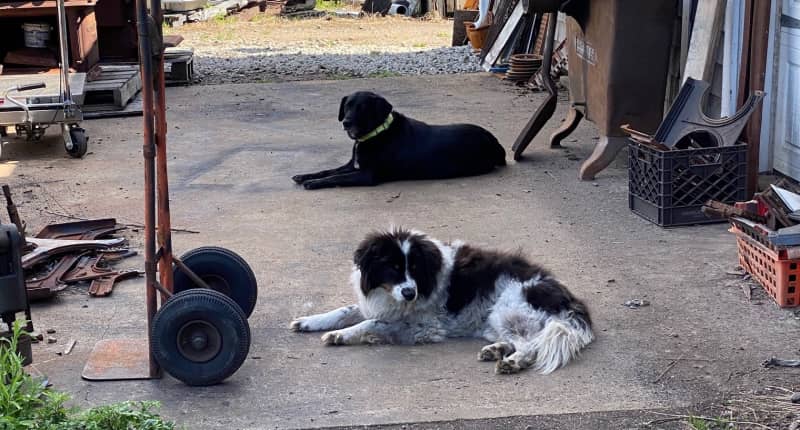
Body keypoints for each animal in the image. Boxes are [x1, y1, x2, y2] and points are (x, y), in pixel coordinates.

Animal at [290, 228, 592, 372]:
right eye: (393, 268)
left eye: (415, 268)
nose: (409, 293)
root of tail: (571, 301)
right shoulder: (384, 306)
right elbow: (345, 310)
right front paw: (310, 322)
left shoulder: (423, 326)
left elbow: (370, 324)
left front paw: (340, 335)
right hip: (494, 321)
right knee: (524, 340)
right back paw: (495, 350)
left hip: (506, 310)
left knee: (531, 345)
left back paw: (512, 362)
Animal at [292, 91, 506, 190]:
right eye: (347, 106)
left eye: (362, 108)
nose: (346, 122)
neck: (376, 133)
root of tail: (493, 140)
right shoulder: (353, 165)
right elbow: (328, 171)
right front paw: (305, 176)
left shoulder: (367, 175)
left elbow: (336, 178)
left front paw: (314, 183)